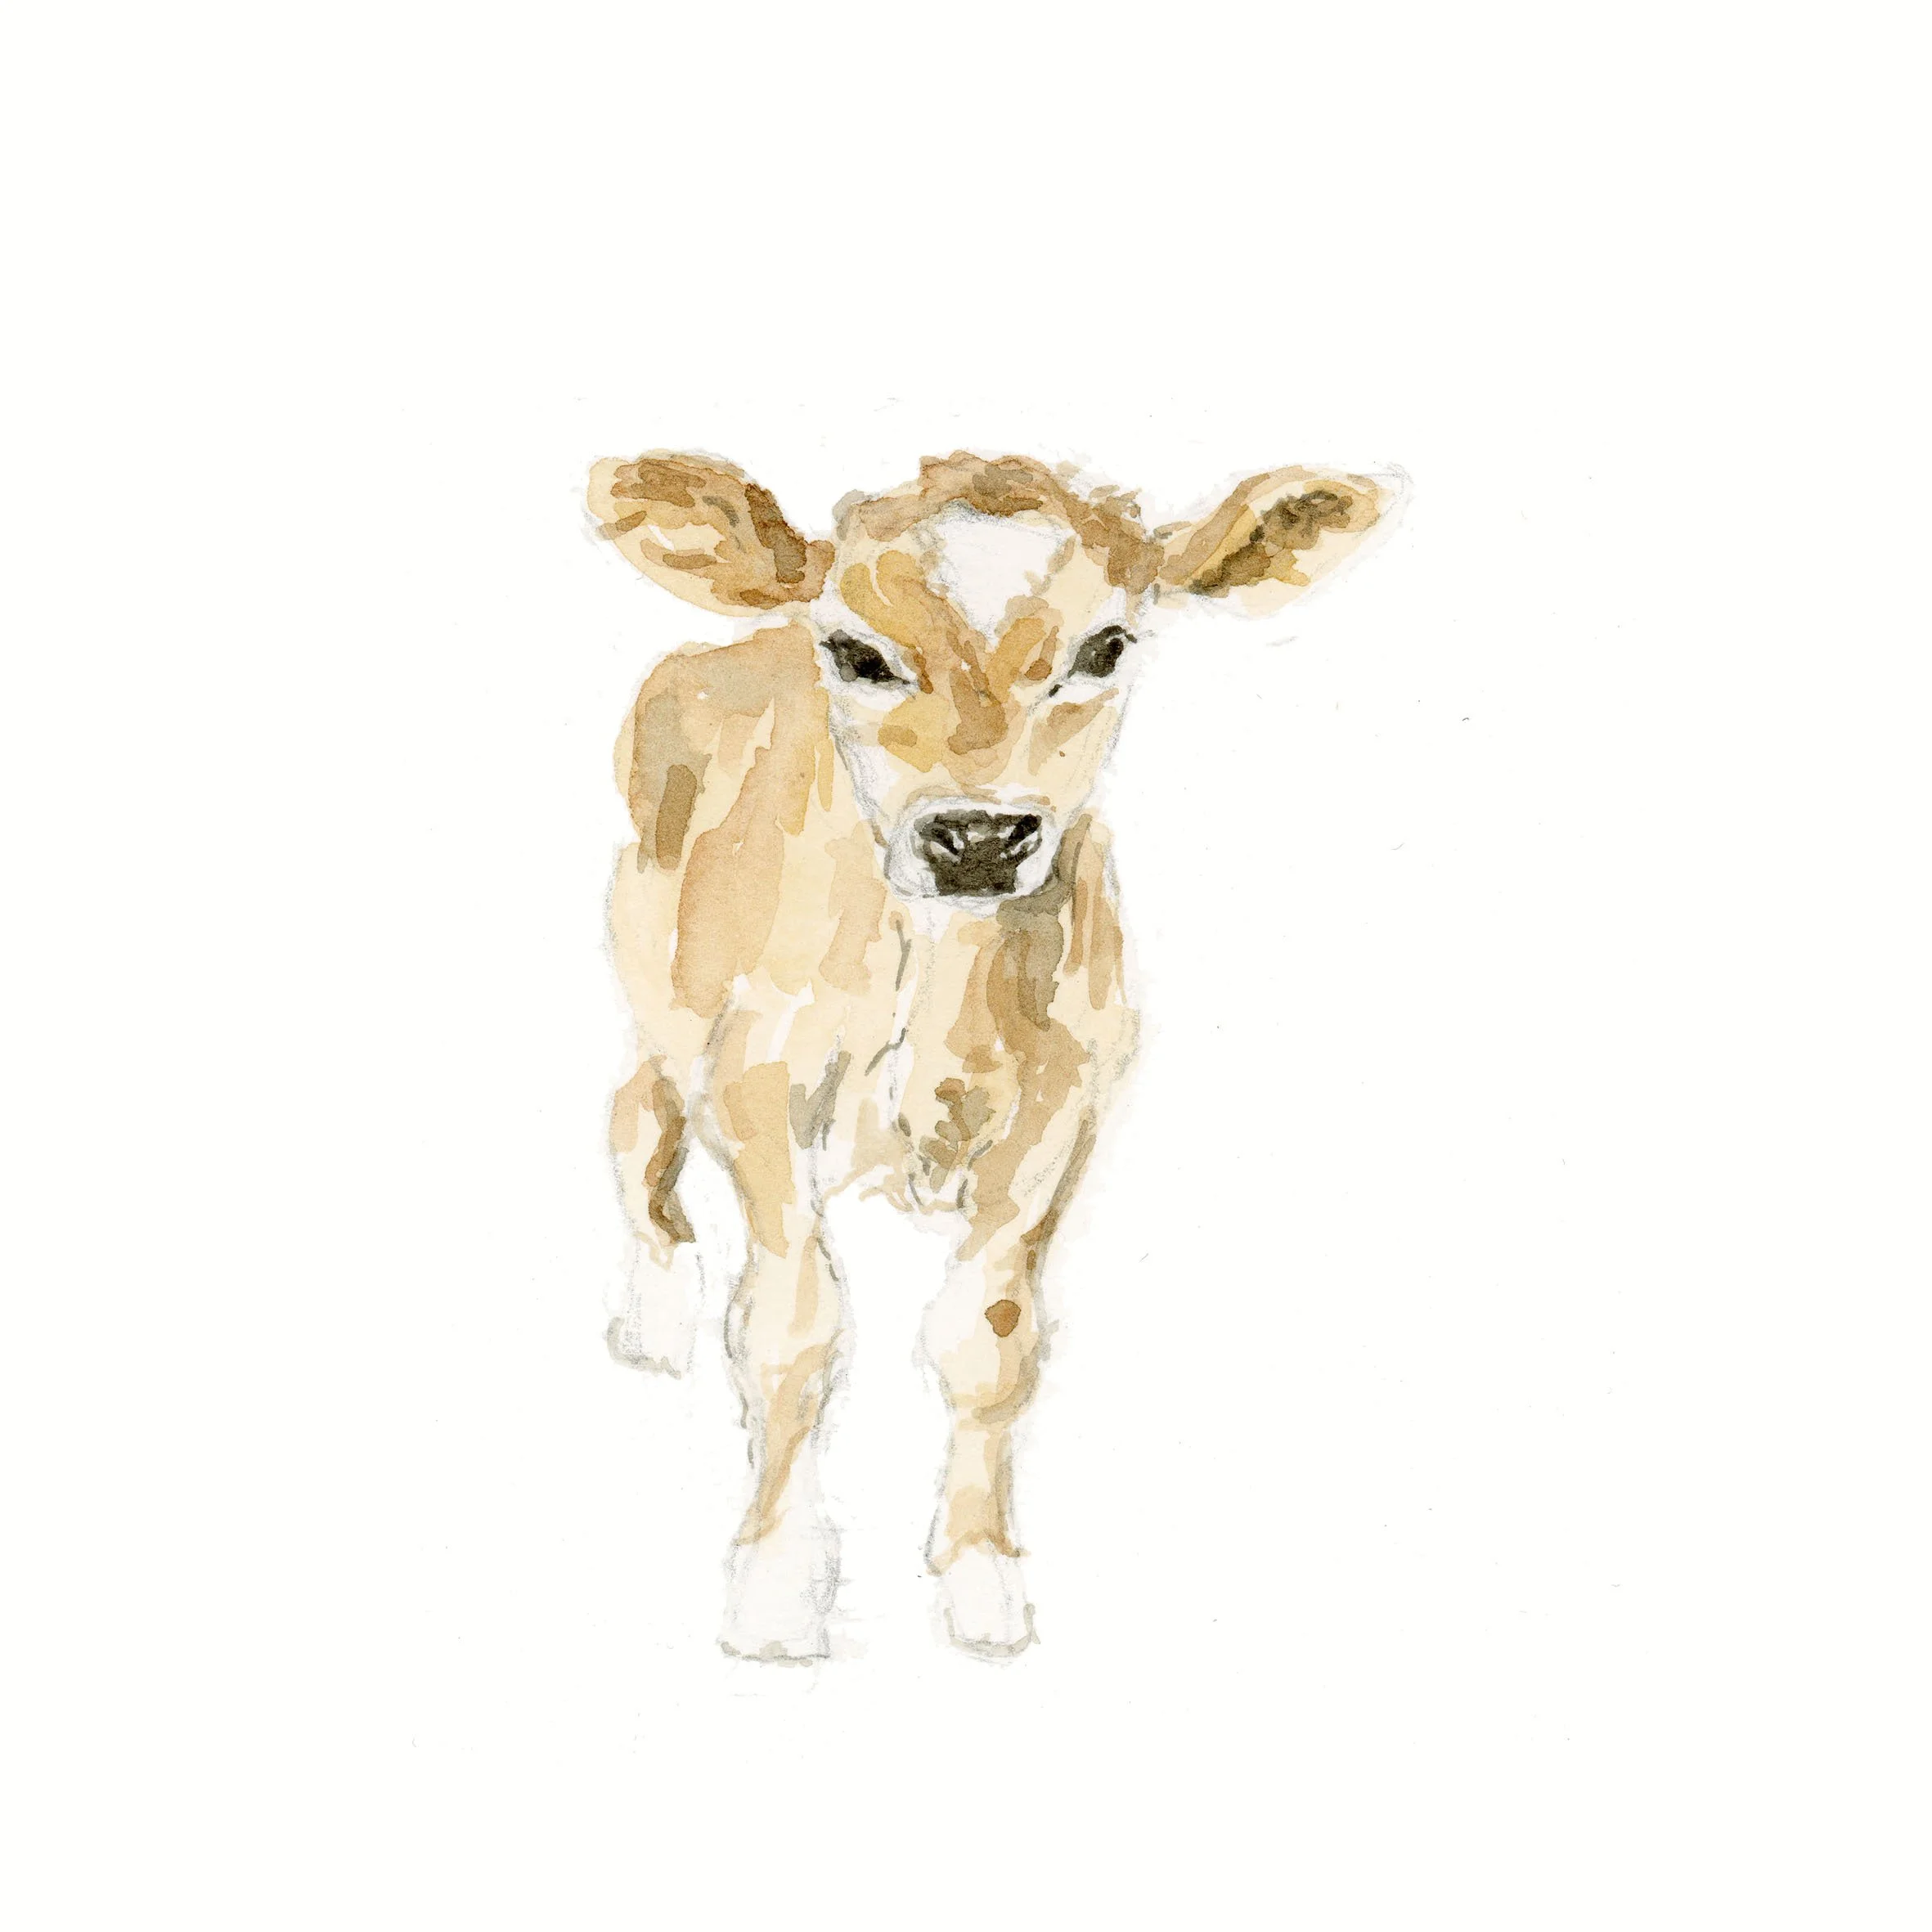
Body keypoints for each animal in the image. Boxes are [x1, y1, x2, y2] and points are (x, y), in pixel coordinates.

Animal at [589, 449, 1402, 1660]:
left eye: (1104, 647)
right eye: (859, 653)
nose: (977, 834)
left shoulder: (1062, 1113)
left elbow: (991, 1340)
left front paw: (979, 1579)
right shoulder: (759, 1091)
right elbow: (791, 1330)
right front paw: (777, 1585)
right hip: (661, 992)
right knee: (636, 1120)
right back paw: (651, 1318)